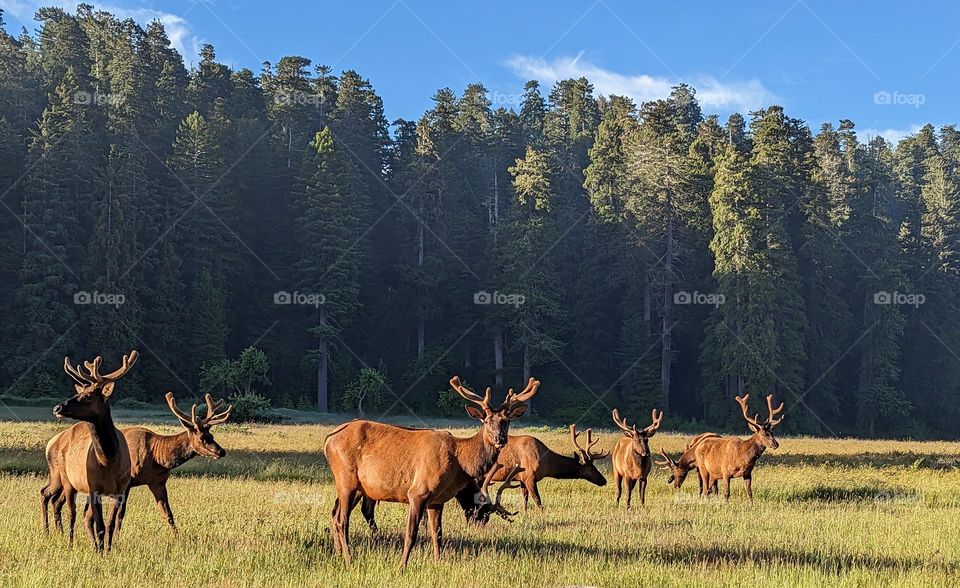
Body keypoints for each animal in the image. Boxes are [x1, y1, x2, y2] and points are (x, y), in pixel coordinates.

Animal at [40, 350, 138, 551]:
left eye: (88, 396)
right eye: (78, 392)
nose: (57, 407)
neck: (109, 460)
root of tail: (52, 442)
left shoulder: (120, 489)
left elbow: (109, 523)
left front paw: (107, 550)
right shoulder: (94, 487)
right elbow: (100, 525)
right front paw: (101, 551)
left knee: (67, 507)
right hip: (64, 478)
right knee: (66, 509)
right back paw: (65, 540)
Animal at [323, 375, 538, 567]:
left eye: (507, 421)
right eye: (486, 421)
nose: (500, 438)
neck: (460, 462)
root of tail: (328, 440)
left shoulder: (437, 500)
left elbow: (438, 533)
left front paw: (438, 562)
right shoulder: (418, 492)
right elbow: (411, 533)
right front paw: (402, 566)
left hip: (358, 486)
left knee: (335, 513)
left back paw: (338, 554)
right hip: (346, 478)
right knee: (342, 520)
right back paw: (349, 559)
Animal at [357, 423, 607, 528]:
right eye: (592, 468)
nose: (604, 480)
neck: (547, 463)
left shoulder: (522, 481)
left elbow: (526, 500)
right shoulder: (529, 476)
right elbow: (537, 500)